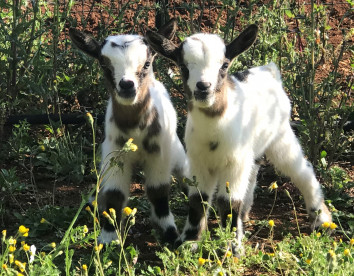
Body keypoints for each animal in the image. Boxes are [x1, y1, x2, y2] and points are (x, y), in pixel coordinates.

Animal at [69, 18, 188, 244]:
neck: (136, 131)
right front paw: (108, 236)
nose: (126, 85)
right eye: (104, 64)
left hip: (176, 151)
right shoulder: (115, 154)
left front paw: (171, 233)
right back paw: (92, 202)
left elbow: (158, 192)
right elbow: (114, 194)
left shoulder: (159, 154)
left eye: (147, 63)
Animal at [146, 24, 332, 252]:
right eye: (183, 66)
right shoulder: (199, 163)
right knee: (253, 172)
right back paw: (245, 215)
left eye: (224, 65)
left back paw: (321, 220)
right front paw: (189, 242)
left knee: (301, 170)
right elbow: (198, 199)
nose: (203, 87)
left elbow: (229, 202)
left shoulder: (234, 163)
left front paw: (231, 246)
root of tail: (268, 71)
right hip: (253, 148)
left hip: (280, 134)